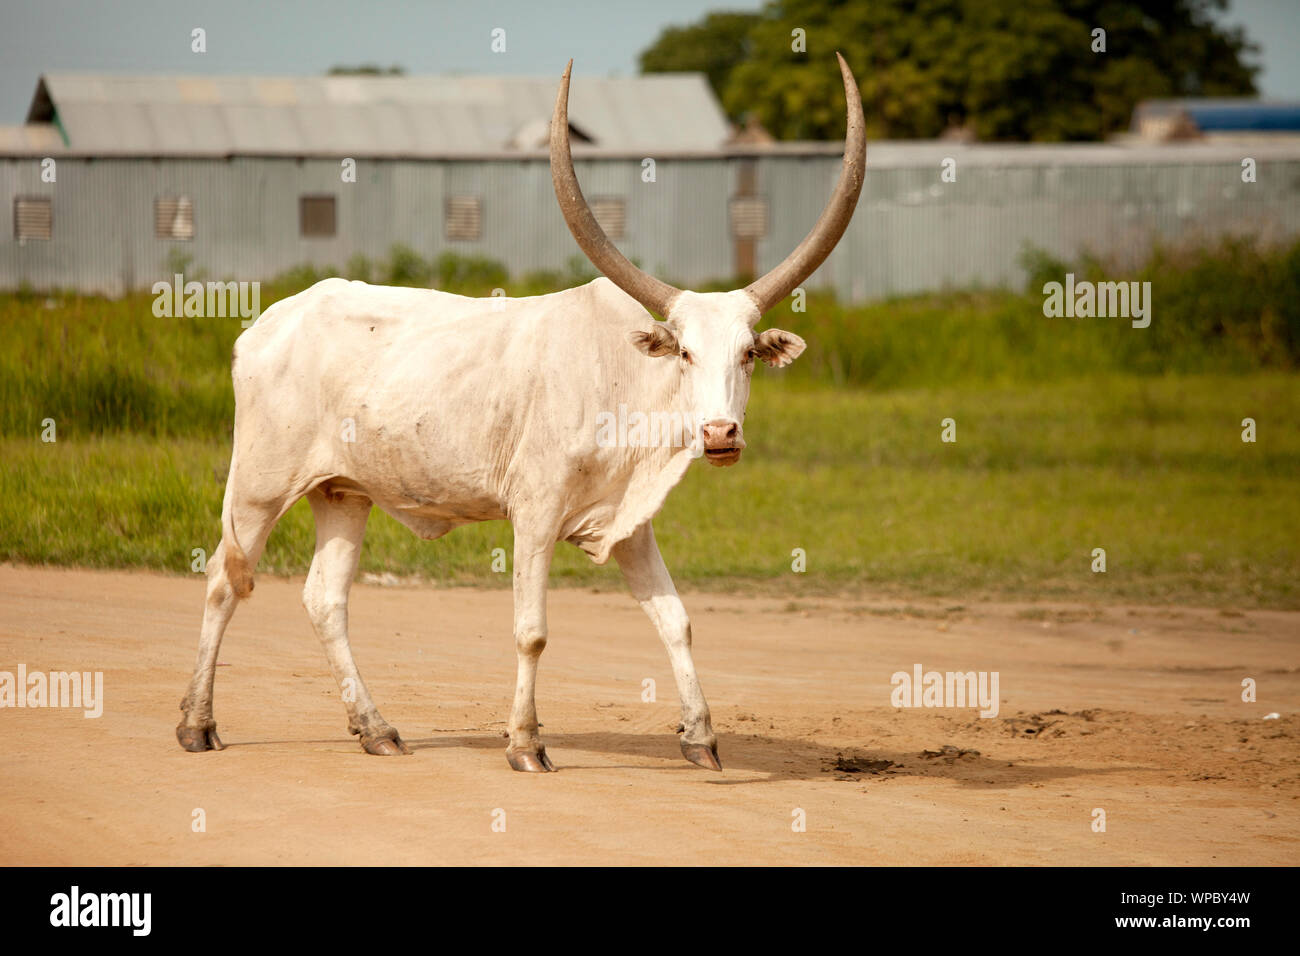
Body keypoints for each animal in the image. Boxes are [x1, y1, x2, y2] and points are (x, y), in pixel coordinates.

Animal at [172, 54, 863, 770]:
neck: (619, 378)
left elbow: (676, 620)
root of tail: (267, 323)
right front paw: (526, 743)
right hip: (258, 486)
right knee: (224, 581)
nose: (721, 432)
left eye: (749, 354)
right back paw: (198, 723)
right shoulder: (534, 514)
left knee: (324, 600)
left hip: (343, 492)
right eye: (685, 353)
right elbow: (532, 631)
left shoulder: (630, 523)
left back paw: (376, 728)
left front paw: (700, 736)